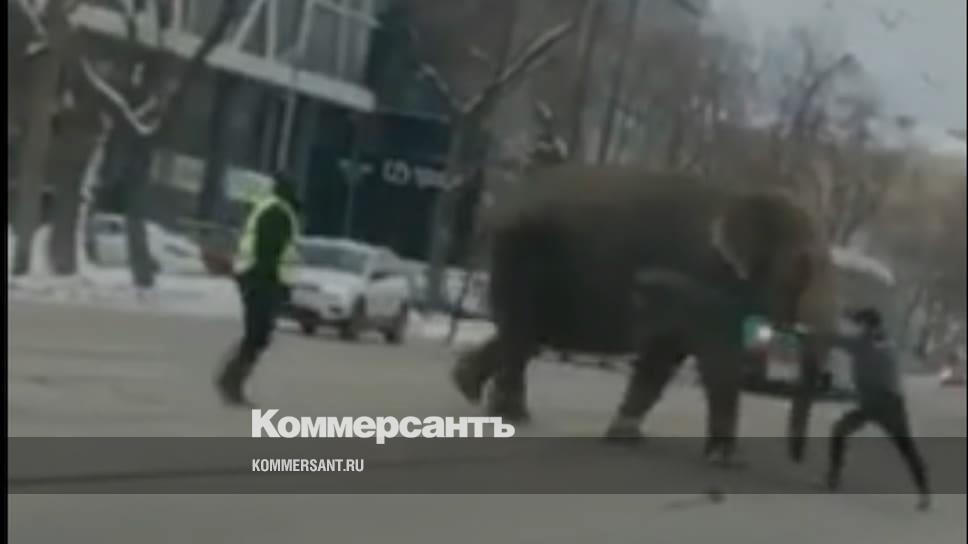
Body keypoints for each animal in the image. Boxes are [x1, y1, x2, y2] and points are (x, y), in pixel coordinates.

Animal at [450, 164, 838, 464]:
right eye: (803, 269)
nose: (798, 457)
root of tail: (502, 203)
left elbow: (663, 357)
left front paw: (626, 437)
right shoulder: (706, 282)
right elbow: (716, 360)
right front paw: (726, 459)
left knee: (533, 331)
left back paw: (467, 385)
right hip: (522, 250)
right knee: (523, 330)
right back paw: (511, 415)